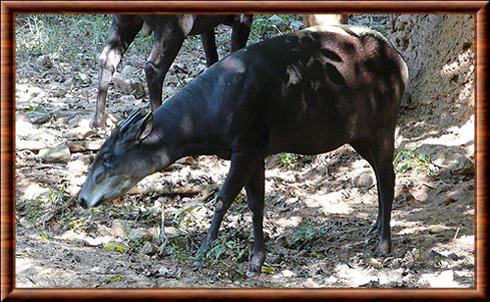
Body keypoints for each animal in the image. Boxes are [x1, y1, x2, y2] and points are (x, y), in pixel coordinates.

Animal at [81, 24, 410, 276]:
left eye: (108, 158)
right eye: (97, 154)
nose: (82, 198)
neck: (208, 117)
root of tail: (402, 63)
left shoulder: (248, 144)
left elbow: (223, 199)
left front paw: (203, 252)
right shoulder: (256, 150)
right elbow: (255, 204)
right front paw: (256, 260)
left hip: (383, 122)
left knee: (388, 175)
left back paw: (383, 244)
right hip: (358, 132)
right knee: (379, 173)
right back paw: (375, 228)